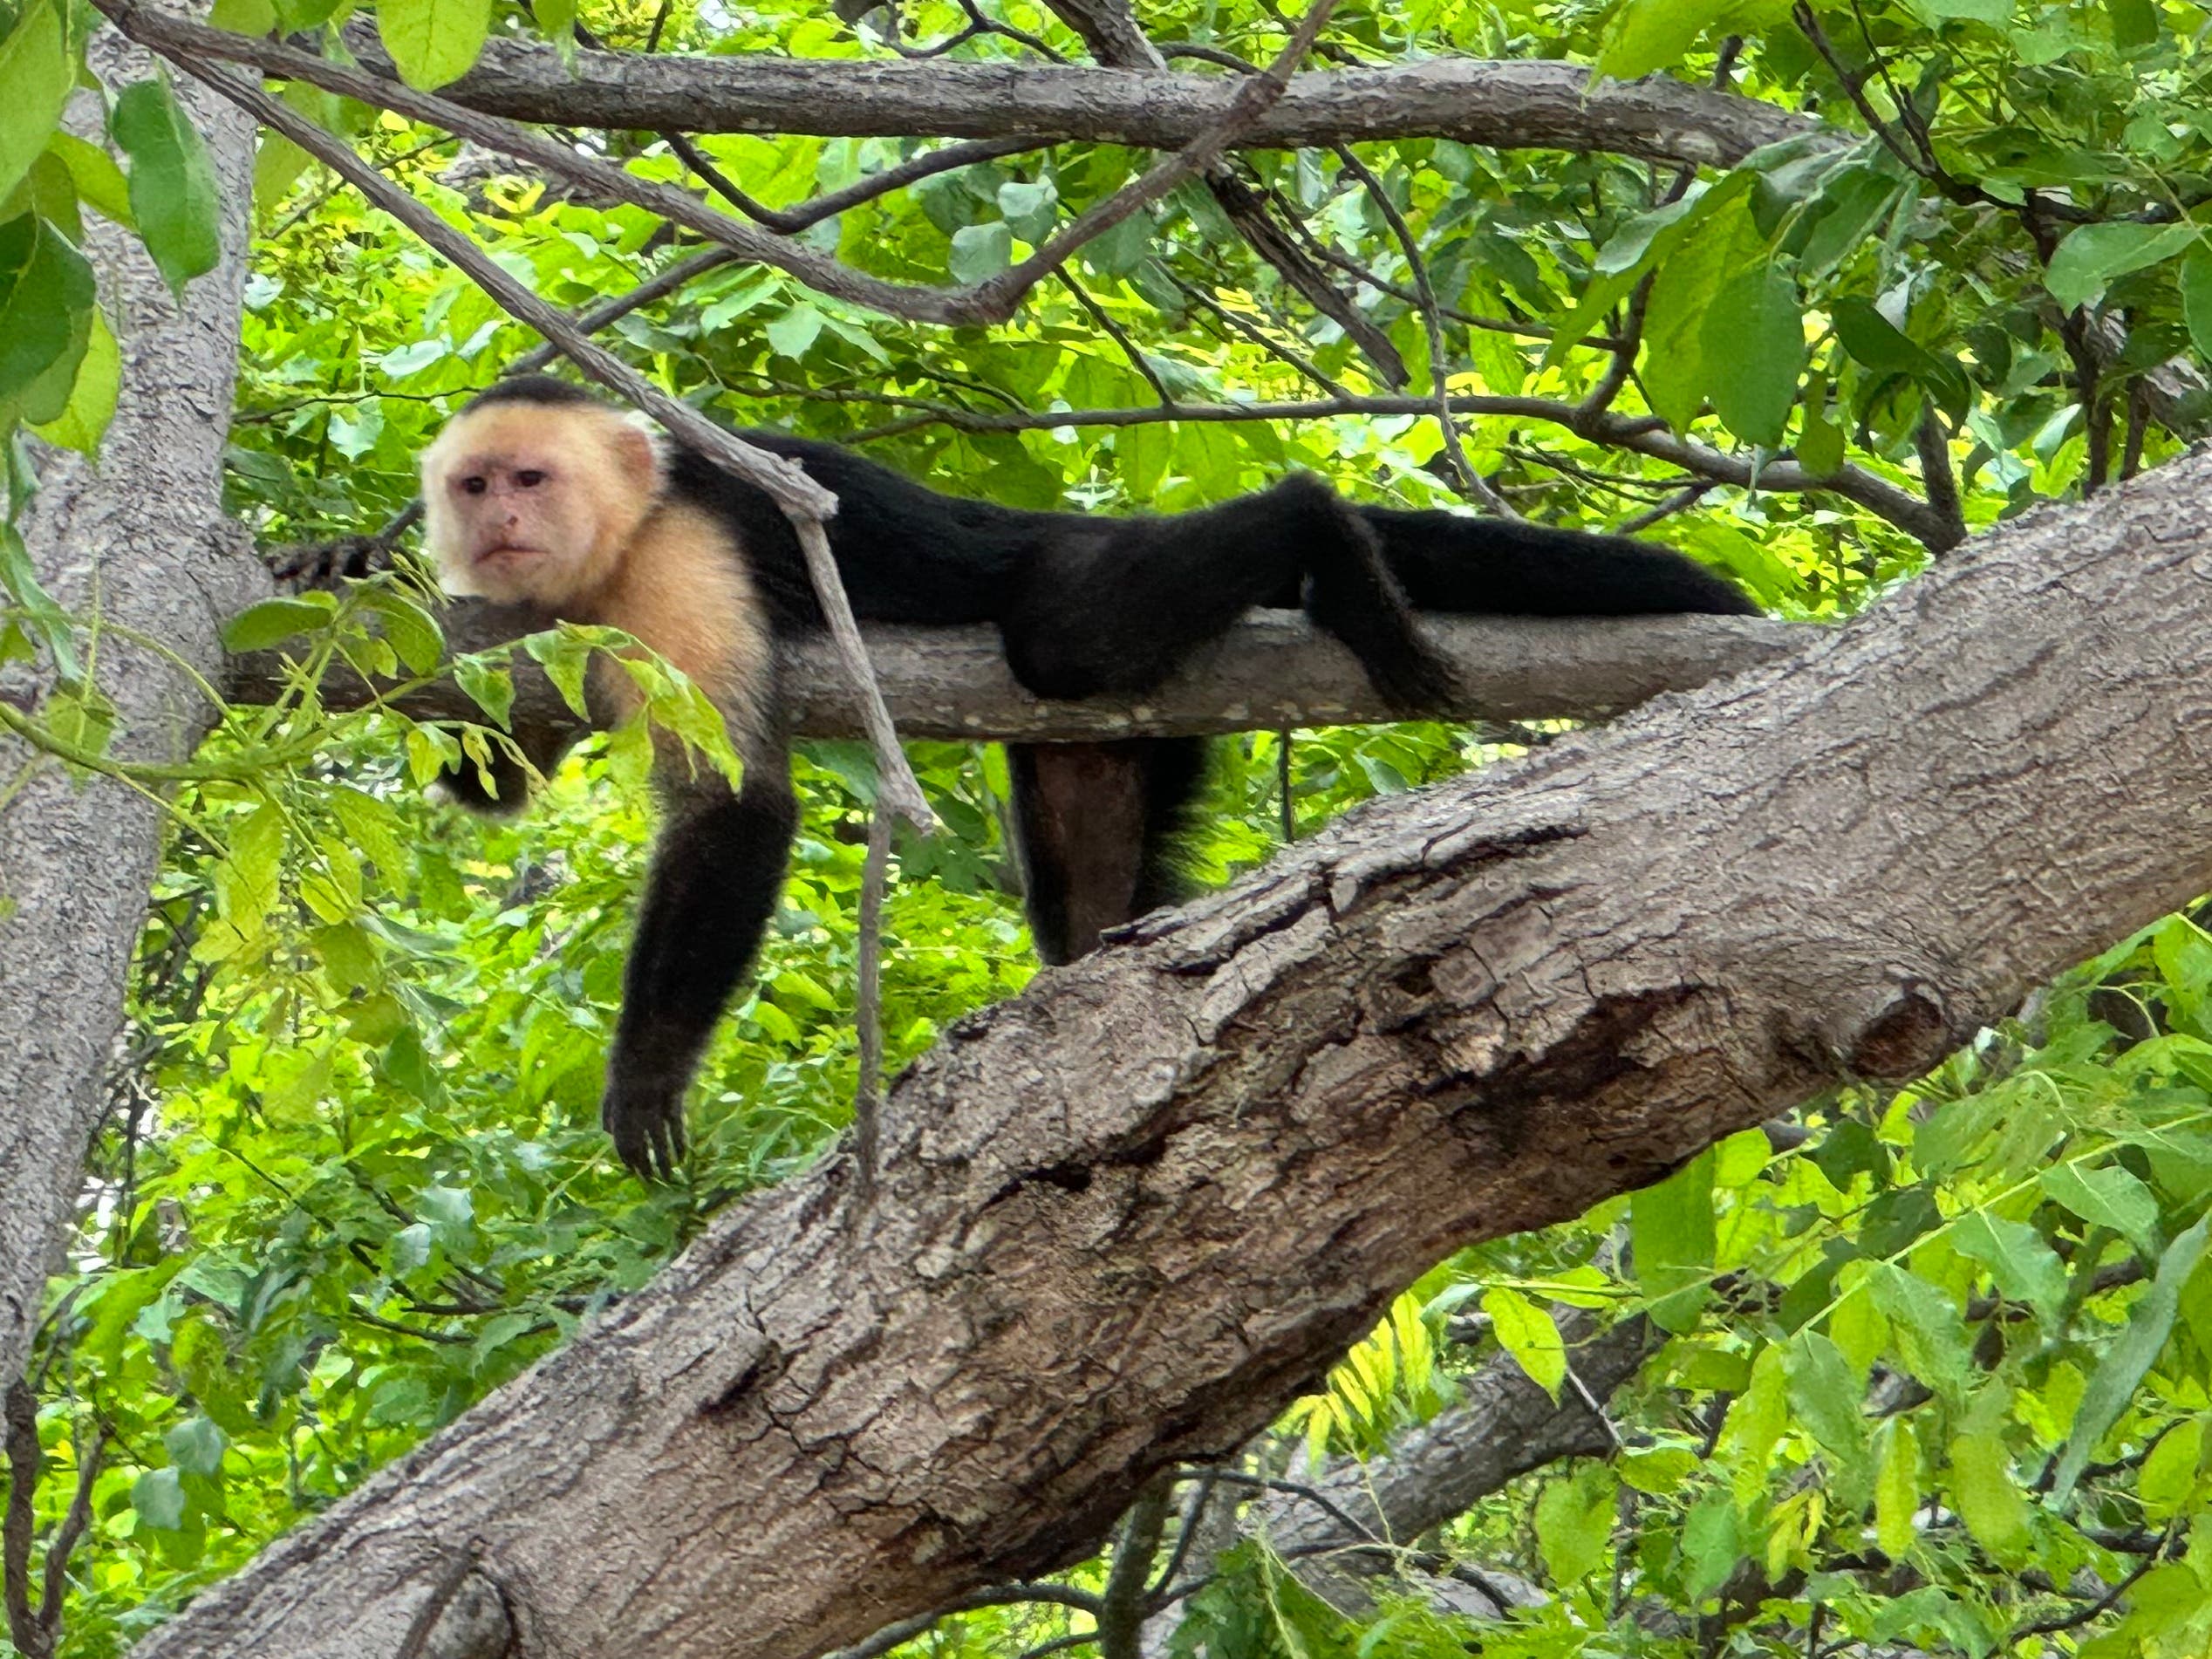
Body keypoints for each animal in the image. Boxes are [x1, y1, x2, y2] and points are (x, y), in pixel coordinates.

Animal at [414, 374, 1756, 1176]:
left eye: (530, 477)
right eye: (473, 485)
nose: (498, 522)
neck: (601, 559)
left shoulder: (679, 549)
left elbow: (734, 799)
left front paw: (645, 1073)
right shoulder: (533, 619)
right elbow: (500, 778)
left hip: (1058, 580)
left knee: (1066, 633)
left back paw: (1319, 530)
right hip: (1117, 742)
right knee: (1087, 891)